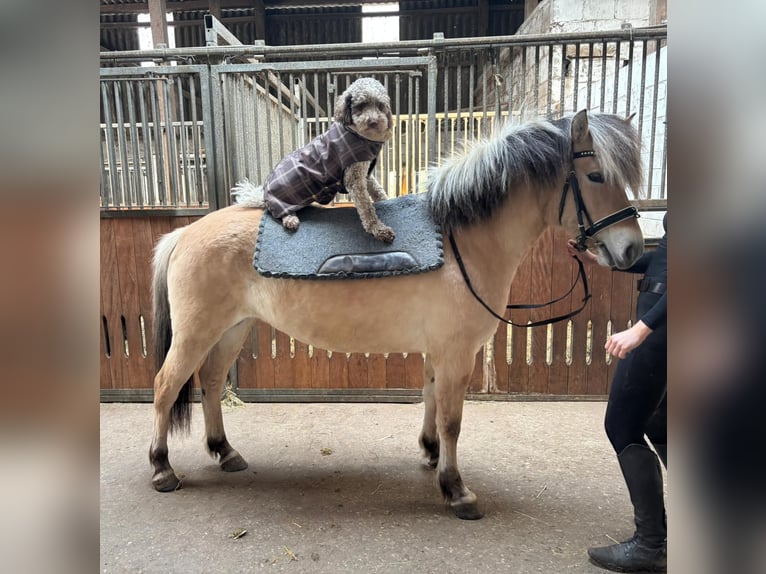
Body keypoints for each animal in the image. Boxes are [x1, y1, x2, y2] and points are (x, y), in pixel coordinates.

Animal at [149, 109, 644, 520]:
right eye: (596, 175)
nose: (632, 249)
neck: (463, 241)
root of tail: (185, 233)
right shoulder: (457, 354)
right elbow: (452, 420)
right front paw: (456, 490)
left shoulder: (439, 352)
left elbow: (430, 401)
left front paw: (430, 455)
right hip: (197, 331)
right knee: (166, 386)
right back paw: (161, 469)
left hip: (232, 329)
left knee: (211, 382)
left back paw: (225, 452)